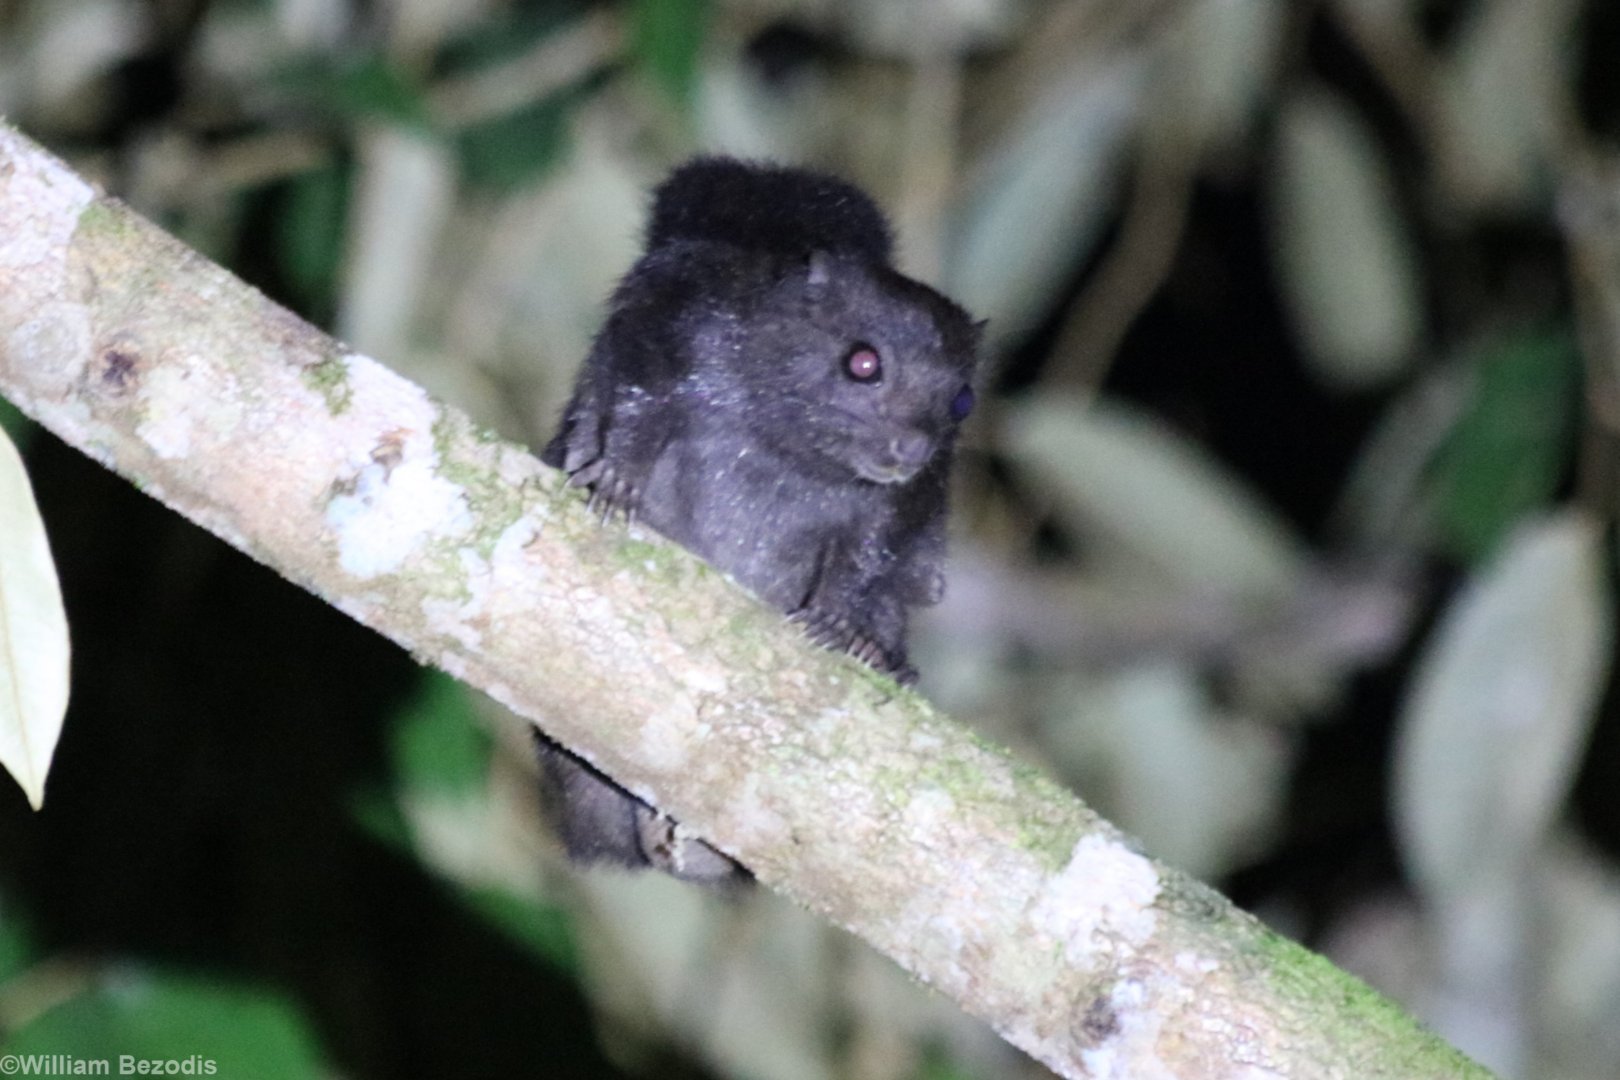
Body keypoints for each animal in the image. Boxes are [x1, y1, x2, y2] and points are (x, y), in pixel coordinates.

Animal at [537, 157, 981, 881]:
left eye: (963, 400)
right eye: (863, 362)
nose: (913, 451)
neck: (787, 442)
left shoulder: (895, 506)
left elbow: (868, 554)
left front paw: (841, 626)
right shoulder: (679, 336)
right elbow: (637, 405)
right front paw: (618, 480)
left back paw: (884, 657)